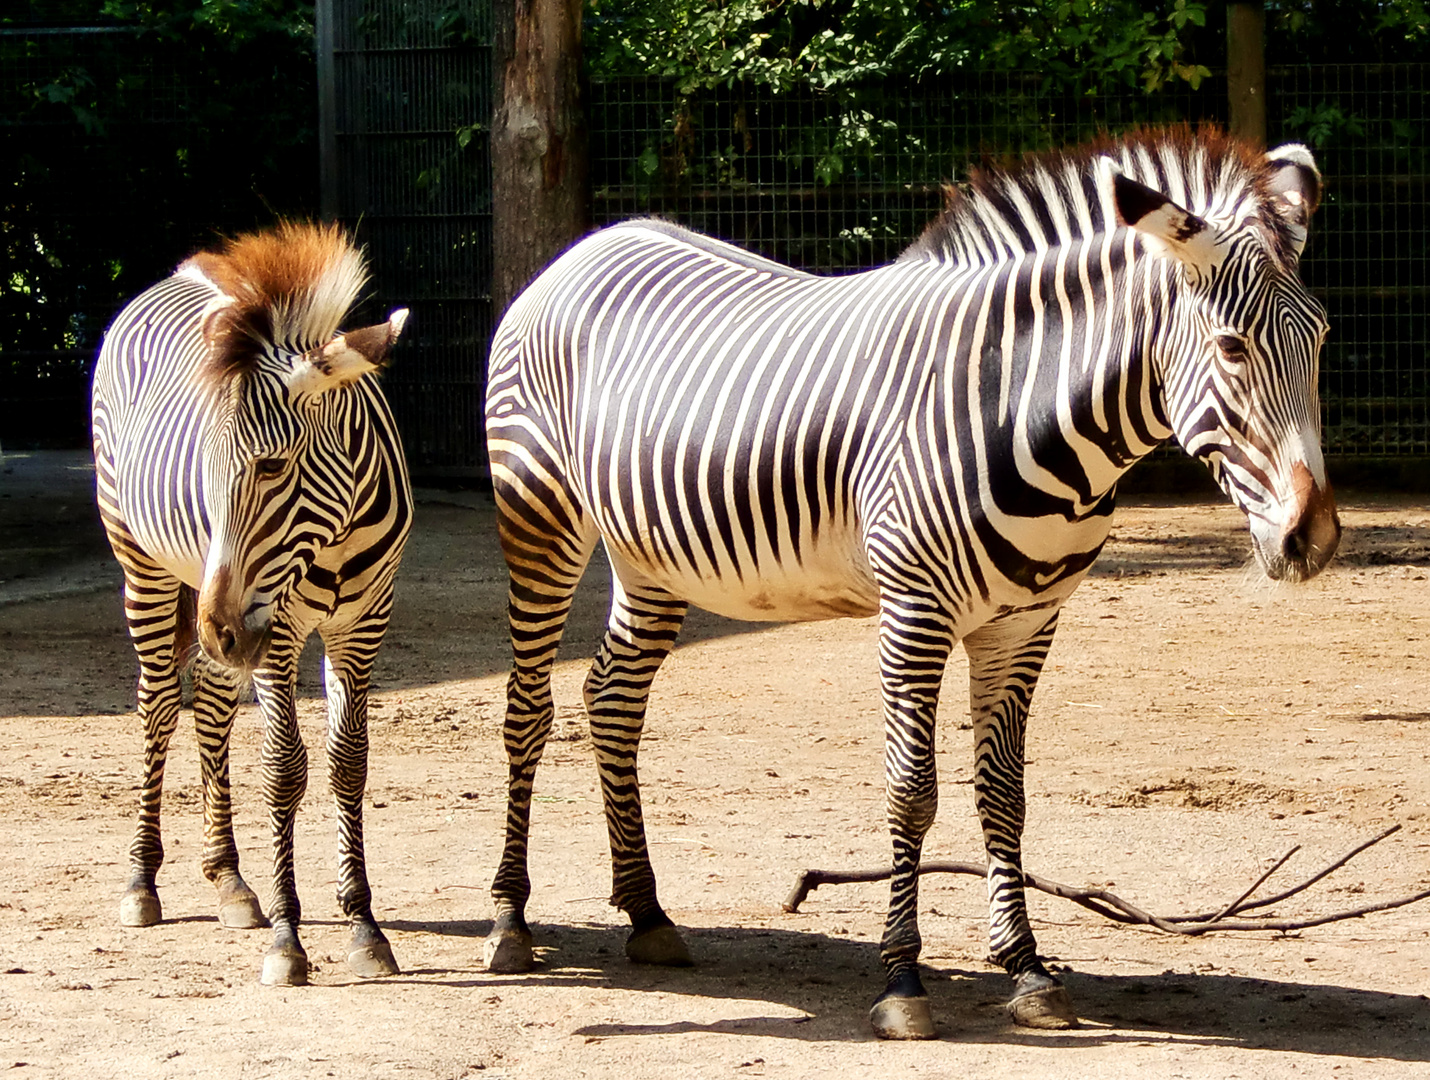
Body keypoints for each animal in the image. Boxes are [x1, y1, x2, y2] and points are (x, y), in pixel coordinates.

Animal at [91, 221, 414, 989]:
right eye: (205, 469)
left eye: (270, 466)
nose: (221, 629)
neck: (330, 539)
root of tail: (177, 274)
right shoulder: (280, 628)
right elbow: (284, 768)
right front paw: (288, 939)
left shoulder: (364, 621)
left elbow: (348, 761)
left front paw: (363, 926)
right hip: (144, 565)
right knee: (157, 702)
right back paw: (142, 882)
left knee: (209, 703)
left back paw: (231, 881)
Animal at [486, 126, 1344, 1041]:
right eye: (1232, 347)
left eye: (1323, 337)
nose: (1314, 539)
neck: (1024, 407)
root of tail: (590, 244)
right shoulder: (915, 610)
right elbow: (912, 793)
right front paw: (902, 979)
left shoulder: (1026, 621)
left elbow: (1004, 794)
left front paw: (1028, 969)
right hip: (538, 509)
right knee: (528, 709)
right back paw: (509, 919)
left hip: (649, 553)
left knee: (612, 699)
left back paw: (646, 913)